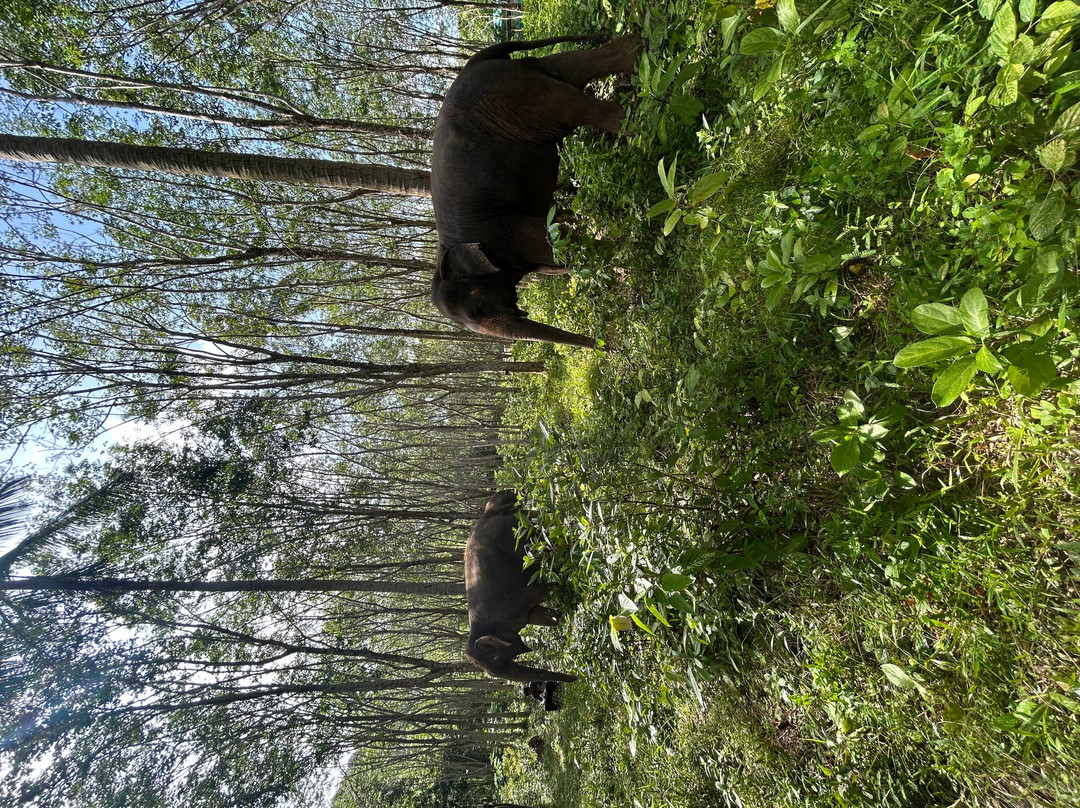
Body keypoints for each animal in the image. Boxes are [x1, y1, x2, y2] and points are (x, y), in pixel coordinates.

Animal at [430, 33, 642, 348]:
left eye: (478, 308)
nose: (609, 347)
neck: (444, 250)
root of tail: (476, 62)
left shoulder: (501, 233)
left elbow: (551, 239)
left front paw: (625, 253)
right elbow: (556, 252)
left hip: (516, 97)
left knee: (569, 102)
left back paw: (634, 121)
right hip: (521, 89)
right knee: (569, 68)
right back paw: (637, 49)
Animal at [464, 490, 576, 682]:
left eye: (499, 663)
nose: (576, 678)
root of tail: (487, 514)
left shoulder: (511, 602)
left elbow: (542, 590)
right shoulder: (521, 613)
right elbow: (541, 615)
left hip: (516, 535)